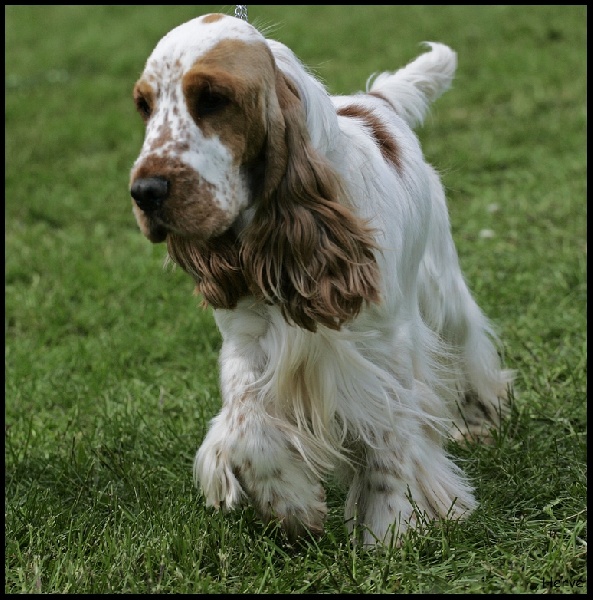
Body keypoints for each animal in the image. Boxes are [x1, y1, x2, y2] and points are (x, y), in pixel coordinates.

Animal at [128, 11, 508, 548]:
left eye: (213, 98)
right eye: (144, 106)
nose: (145, 191)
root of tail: (376, 100)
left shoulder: (383, 347)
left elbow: (388, 442)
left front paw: (389, 531)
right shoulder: (248, 344)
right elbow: (246, 427)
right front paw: (291, 505)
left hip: (439, 289)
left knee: (466, 345)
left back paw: (476, 421)